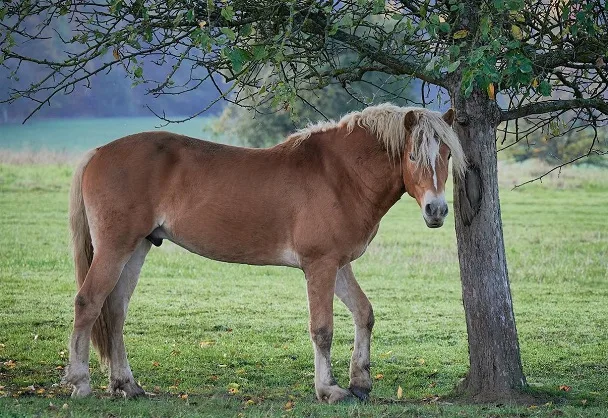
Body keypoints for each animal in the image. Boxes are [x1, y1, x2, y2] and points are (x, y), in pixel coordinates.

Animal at [64, 103, 466, 402]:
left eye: (446, 154)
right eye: (412, 155)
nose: (436, 210)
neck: (339, 175)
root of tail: (97, 153)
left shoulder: (338, 265)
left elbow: (364, 314)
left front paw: (360, 382)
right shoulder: (319, 265)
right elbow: (322, 329)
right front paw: (329, 389)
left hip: (138, 247)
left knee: (116, 311)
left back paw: (126, 384)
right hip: (115, 247)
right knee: (88, 302)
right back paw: (80, 382)